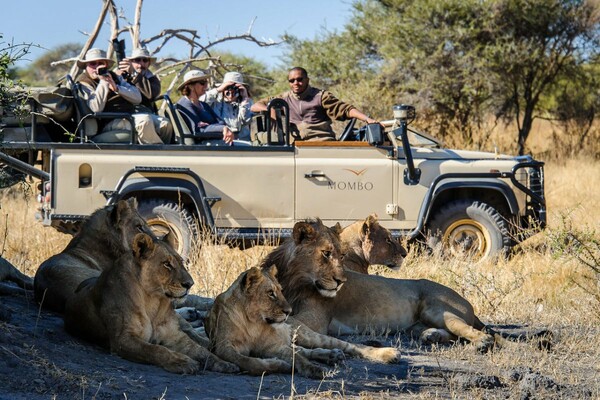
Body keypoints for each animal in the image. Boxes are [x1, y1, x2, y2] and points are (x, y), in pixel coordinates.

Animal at [62, 231, 237, 376]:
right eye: (166, 264)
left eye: (181, 261)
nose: (190, 284)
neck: (154, 302)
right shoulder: (123, 339)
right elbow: (156, 349)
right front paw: (182, 361)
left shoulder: (175, 336)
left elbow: (201, 351)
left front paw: (224, 363)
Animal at [205, 266, 398, 378]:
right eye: (270, 293)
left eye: (281, 291)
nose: (288, 311)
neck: (253, 321)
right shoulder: (223, 347)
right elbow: (247, 361)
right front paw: (279, 365)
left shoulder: (273, 347)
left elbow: (298, 358)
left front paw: (315, 370)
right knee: (303, 350)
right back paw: (332, 355)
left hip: (307, 334)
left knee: (350, 346)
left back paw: (388, 354)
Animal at [260, 219, 552, 354]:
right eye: (326, 253)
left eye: (339, 254)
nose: (342, 281)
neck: (293, 279)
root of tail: (467, 303)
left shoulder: (316, 319)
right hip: (419, 324)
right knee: (452, 333)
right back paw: (431, 336)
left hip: (436, 308)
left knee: (482, 334)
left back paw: (478, 344)